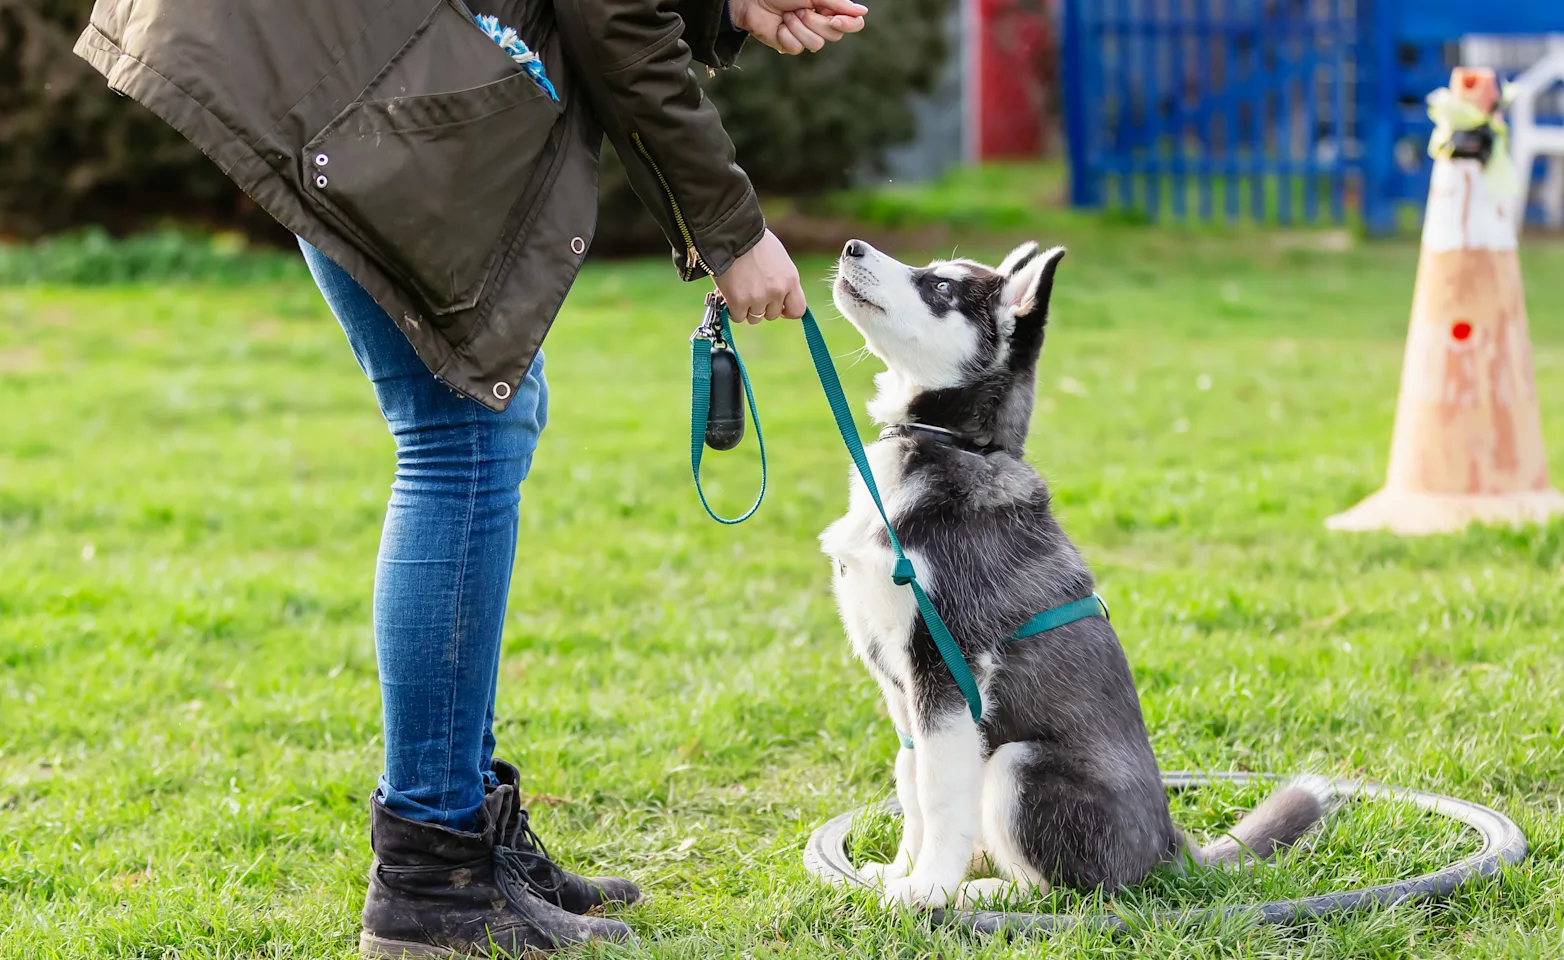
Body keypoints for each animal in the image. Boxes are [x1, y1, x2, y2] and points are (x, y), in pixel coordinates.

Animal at [819, 239, 1332, 913]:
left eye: (941, 287)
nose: (851, 246)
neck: (953, 444)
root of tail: (1170, 847)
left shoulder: (948, 671)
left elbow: (938, 795)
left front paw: (927, 890)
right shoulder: (900, 685)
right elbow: (911, 785)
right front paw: (900, 871)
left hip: (1018, 763)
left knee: (1068, 892)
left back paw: (984, 892)